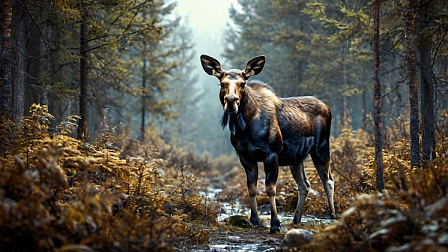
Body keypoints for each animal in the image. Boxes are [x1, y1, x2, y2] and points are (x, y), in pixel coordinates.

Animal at [201, 54, 334, 233]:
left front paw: (275, 223)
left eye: (243, 83)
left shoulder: (271, 154)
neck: (245, 127)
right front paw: (255, 220)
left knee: (328, 181)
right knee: (304, 185)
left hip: (321, 148)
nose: (231, 101)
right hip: (296, 158)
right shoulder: (245, 156)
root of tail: (327, 107)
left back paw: (332, 216)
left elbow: (270, 189)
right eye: (222, 83)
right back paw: (296, 219)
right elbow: (252, 188)